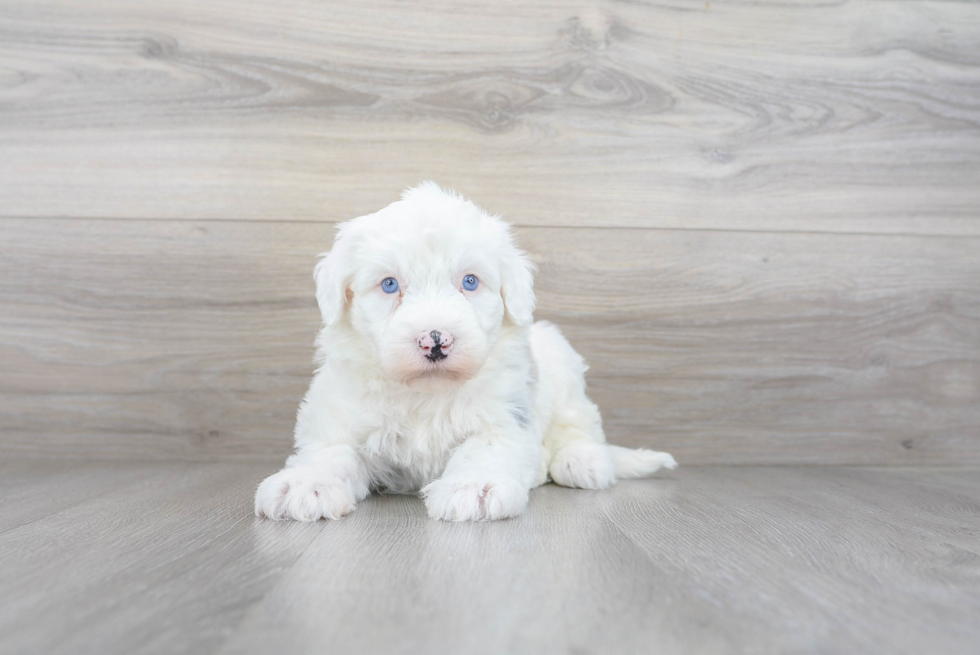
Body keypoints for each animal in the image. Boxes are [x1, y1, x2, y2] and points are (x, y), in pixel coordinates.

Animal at [256, 183, 676, 524]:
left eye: (470, 282)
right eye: (389, 284)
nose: (435, 341)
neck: (425, 392)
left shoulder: (505, 416)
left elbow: (483, 449)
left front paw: (473, 488)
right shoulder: (339, 412)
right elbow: (330, 450)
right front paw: (305, 485)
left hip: (562, 362)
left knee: (580, 424)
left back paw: (582, 461)